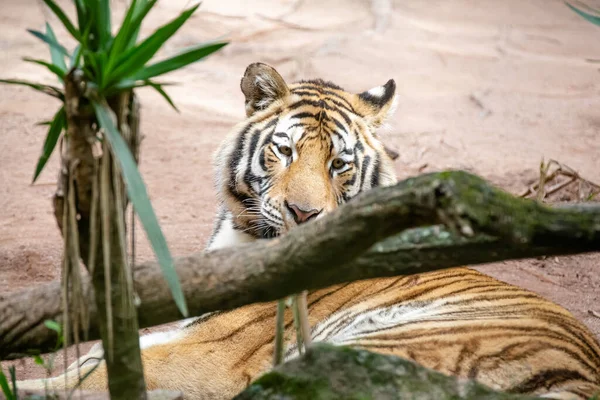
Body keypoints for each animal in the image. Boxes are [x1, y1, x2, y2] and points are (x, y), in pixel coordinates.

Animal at [16, 62, 600, 400]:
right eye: (285, 150)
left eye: (339, 164)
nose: (305, 214)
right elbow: (89, 361)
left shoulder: (205, 359)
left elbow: (81, 378)